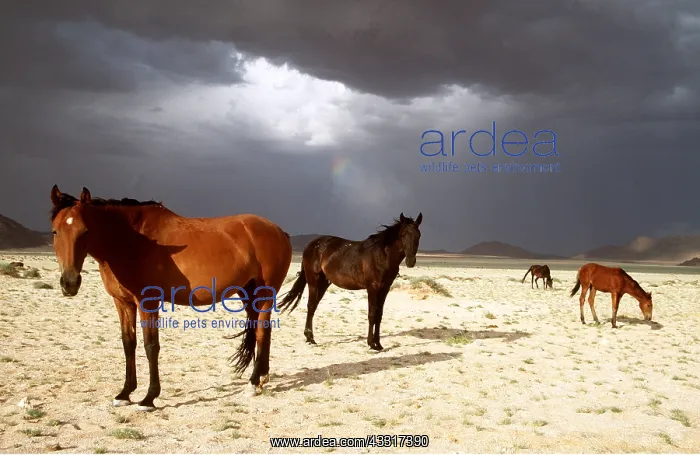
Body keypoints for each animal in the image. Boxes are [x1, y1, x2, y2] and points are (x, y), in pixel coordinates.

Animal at [49, 185, 292, 408]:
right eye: (55, 231)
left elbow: (150, 346)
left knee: (261, 331)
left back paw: (253, 383)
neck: (130, 242)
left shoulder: (147, 303)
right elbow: (129, 343)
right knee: (264, 330)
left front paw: (149, 397)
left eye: (85, 231)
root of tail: (279, 231)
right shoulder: (123, 303)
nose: (69, 283)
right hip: (248, 293)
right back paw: (262, 378)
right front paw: (125, 393)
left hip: (265, 294)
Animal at [277, 212, 423, 351]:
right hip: (313, 281)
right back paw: (310, 338)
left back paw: (309, 337)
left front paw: (378, 344)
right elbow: (372, 315)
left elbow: (379, 315)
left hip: (324, 283)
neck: (381, 255)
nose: (410, 261)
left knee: (313, 306)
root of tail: (310, 245)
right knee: (311, 306)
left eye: (418, 235)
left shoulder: (385, 289)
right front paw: (371, 344)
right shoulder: (372, 288)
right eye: (403, 235)